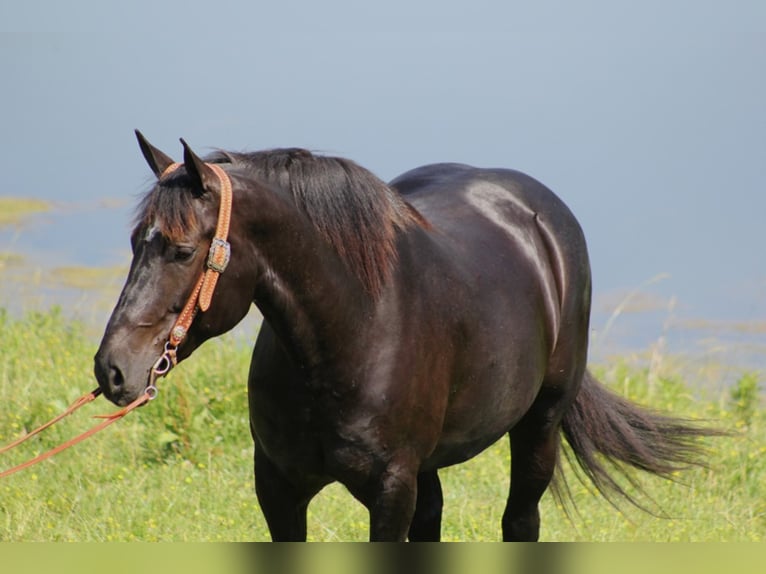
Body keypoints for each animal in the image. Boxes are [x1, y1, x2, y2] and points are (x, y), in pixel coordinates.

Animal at [94, 133, 712, 544]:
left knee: (521, 521)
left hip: (539, 424)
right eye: (134, 241)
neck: (349, 335)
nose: (112, 369)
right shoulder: (278, 486)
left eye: (182, 250)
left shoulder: (390, 492)